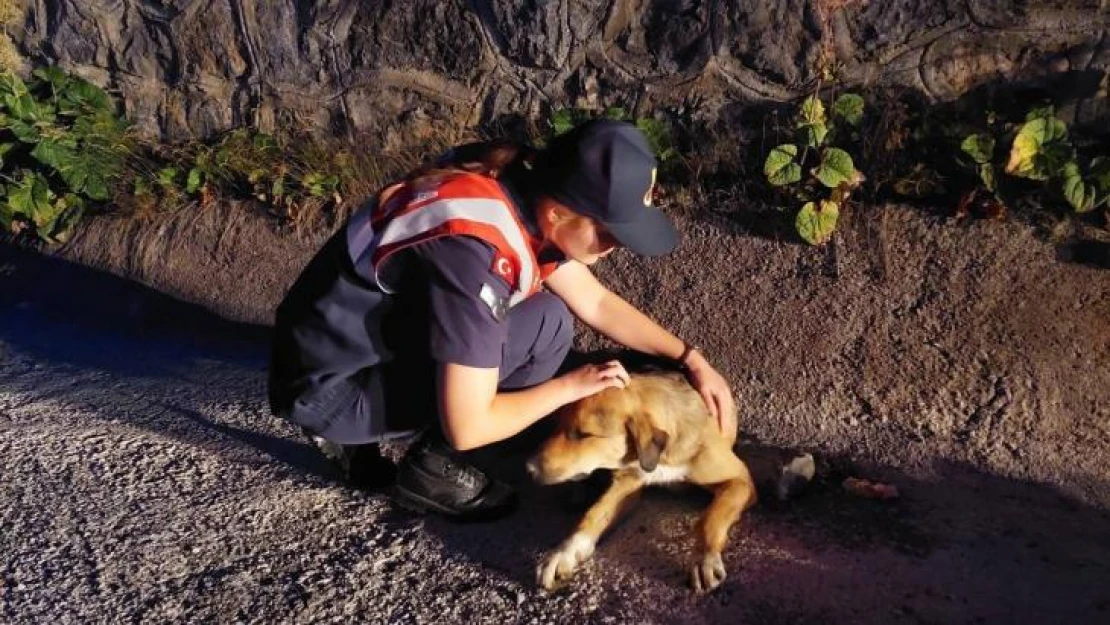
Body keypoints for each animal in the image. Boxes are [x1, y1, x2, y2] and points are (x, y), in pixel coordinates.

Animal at [526, 370, 754, 595]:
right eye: (558, 424)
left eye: (584, 434)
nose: (528, 468)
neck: (664, 454)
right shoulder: (626, 483)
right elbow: (594, 513)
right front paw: (564, 552)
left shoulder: (741, 480)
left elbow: (710, 518)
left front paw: (703, 558)